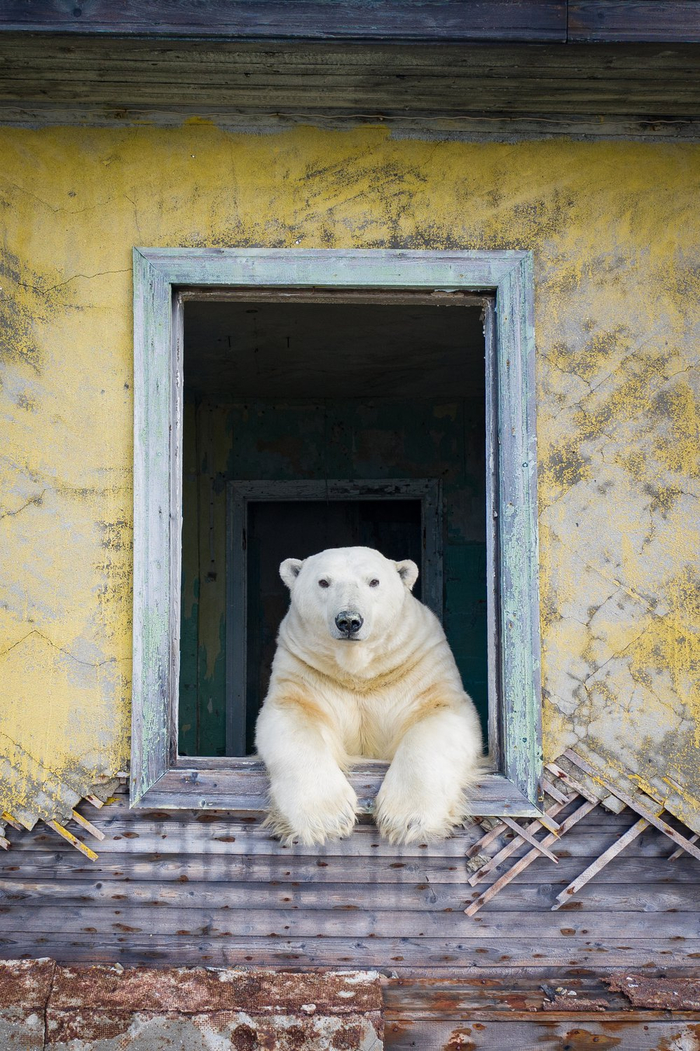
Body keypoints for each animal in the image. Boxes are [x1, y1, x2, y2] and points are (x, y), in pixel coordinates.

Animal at [253, 546, 483, 849]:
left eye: (374, 581)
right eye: (323, 582)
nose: (349, 620)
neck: (359, 673)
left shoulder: (418, 664)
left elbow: (439, 715)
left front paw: (406, 818)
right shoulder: (305, 670)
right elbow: (293, 718)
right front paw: (326, 820)